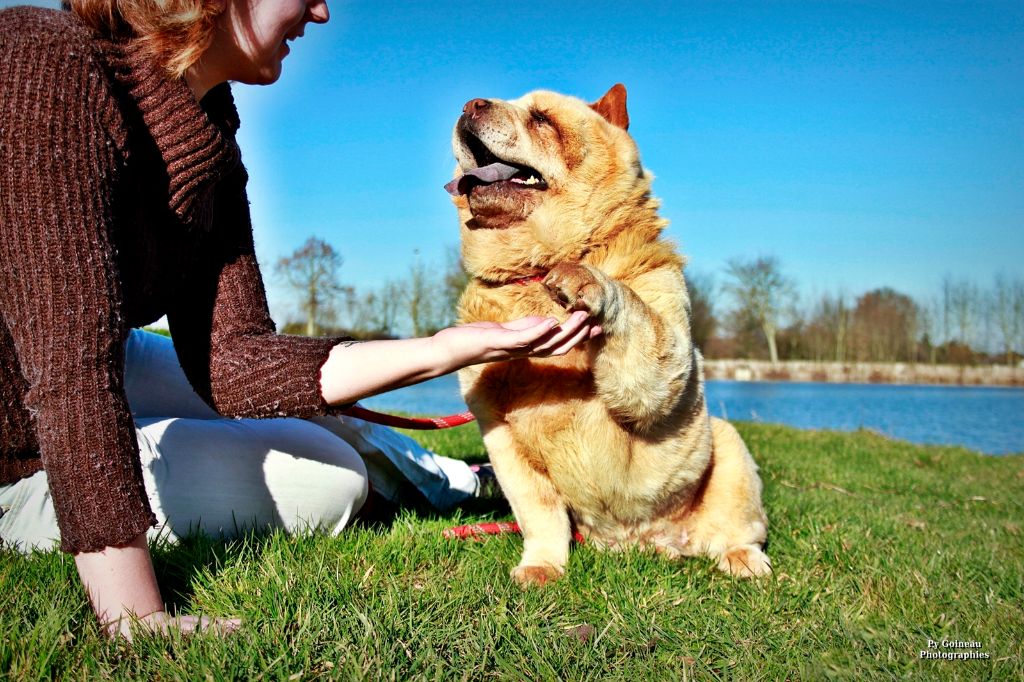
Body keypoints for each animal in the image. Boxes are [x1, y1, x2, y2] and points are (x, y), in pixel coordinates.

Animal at [444, 84, 770, 585]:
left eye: (541, 118)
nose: (469, 104)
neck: (533, 270)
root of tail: (644, 540)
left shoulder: (658, 362)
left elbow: (637, 317)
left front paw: (586, 281)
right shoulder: (501, 436)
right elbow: (539, 514)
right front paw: (541, 568)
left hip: (730, 448)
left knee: (738, 527)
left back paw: (743, 559)